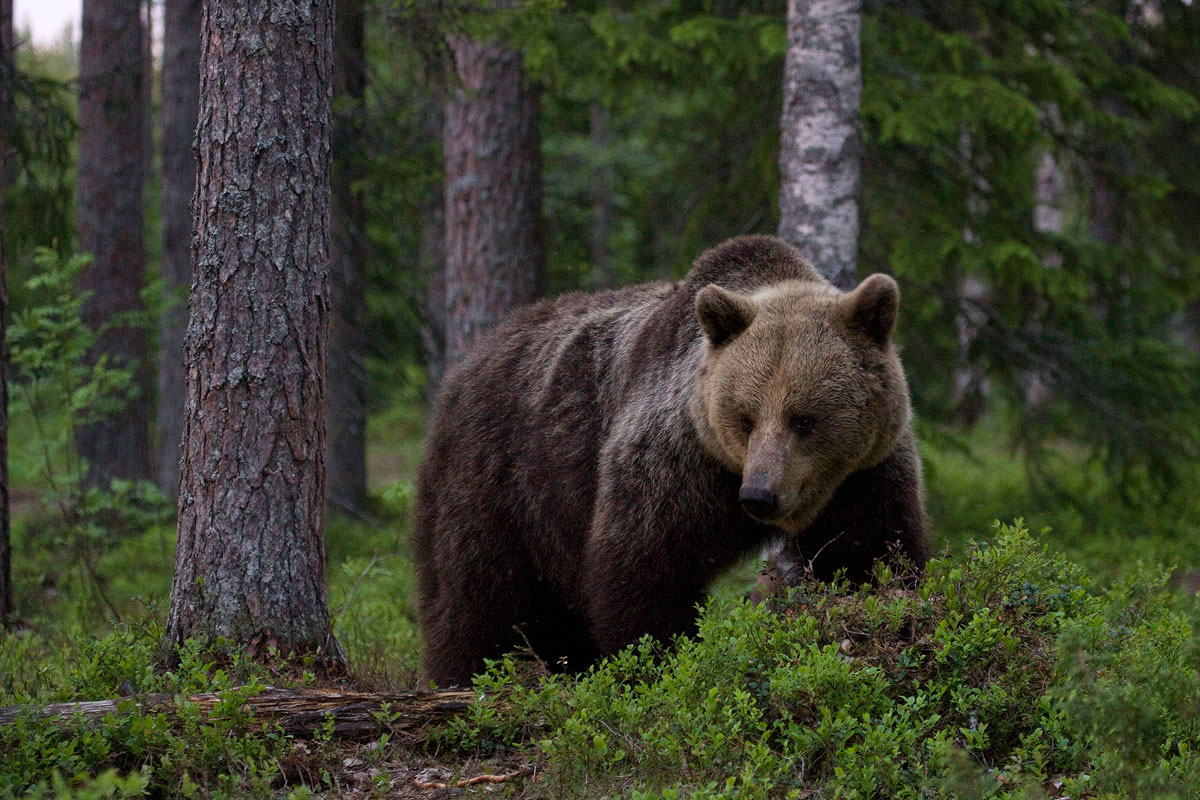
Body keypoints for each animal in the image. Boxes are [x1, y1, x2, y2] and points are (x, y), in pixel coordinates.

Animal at [412, 235, 926, 686]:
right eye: (745, 416)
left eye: (804, 419)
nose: (759, 496)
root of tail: (468, 363)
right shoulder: (676, 460)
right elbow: (647, 568)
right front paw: (657, 661)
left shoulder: (864, 473)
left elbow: (871, 551)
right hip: (501, 479)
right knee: (477, 596)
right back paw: (466, 677)